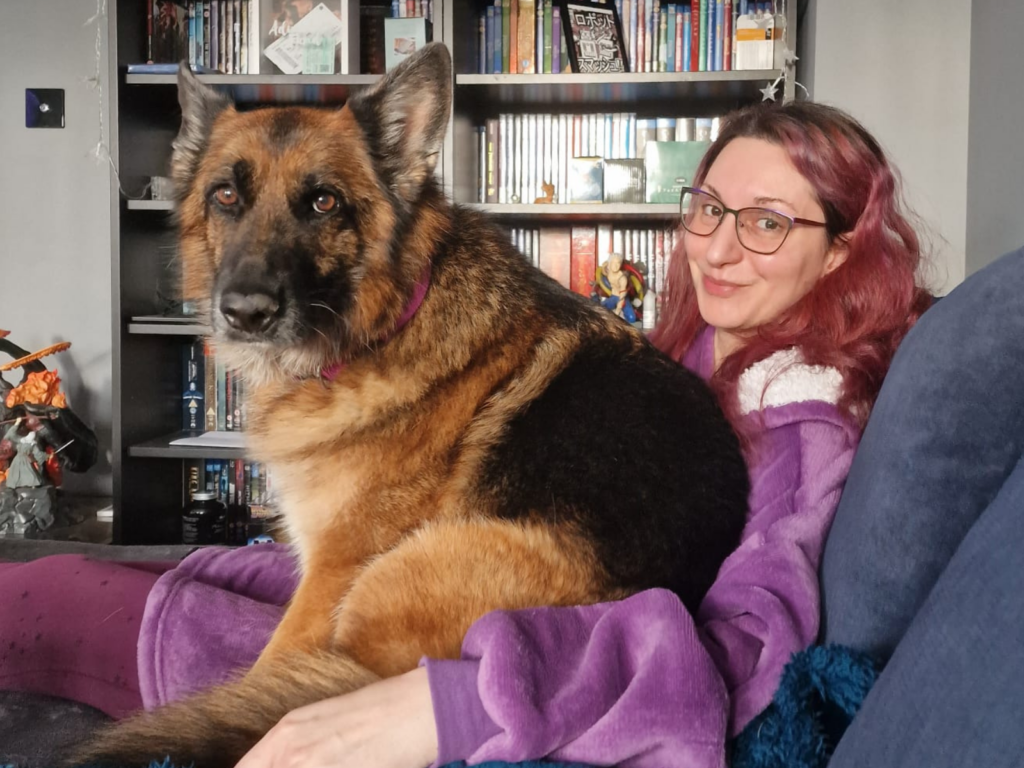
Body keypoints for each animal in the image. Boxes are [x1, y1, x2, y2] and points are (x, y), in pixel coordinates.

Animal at [70, 43, 745, 768]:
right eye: (225, 195)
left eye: (323, 202)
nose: (246, 313)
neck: (384, 325)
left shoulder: (328, 577)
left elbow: (270, 661)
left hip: (378, 589)